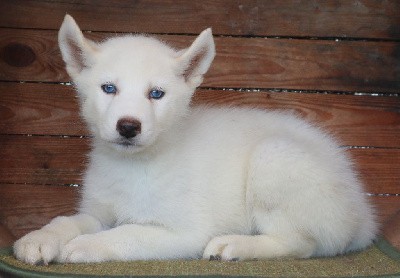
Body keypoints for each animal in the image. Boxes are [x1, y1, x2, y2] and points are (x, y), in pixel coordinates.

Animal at [14, 15, 376, 264]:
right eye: (109, 88)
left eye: (156, 94)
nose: (128, 127)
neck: (136, 167)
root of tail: (363, 215)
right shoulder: (98, 212)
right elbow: (67, 220)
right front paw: (40, 238)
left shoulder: (185, 231)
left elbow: (129, 232)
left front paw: (87, 245)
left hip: (275, 157)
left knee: (301, 244)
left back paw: (235, 244)